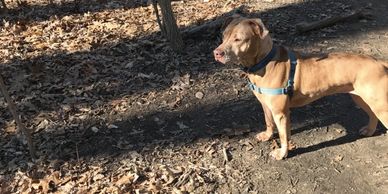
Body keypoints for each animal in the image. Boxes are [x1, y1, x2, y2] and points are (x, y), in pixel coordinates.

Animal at [214, 16, 388, 159]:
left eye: (238, 39)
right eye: (224, 36)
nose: (217, 53)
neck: (265, 61)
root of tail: (380, 62)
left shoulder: (281, 113)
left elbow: (284, 136)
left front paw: (282, 153)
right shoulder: (266, 105)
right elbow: (268, 121)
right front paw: (268, 135)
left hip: (380, 106)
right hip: (360, 99)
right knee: (372, 115)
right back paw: (369, 131)